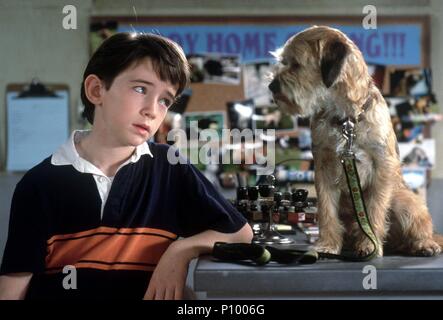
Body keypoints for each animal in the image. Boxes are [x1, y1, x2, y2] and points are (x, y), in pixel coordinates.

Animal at [268, 25, 442, 258]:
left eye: (296, 64)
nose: (271, 86)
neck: (346, 118)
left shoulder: (382, 168)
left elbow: (374, 209)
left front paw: (370, 244)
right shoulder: (324, 168)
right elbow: (326, 210)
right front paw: (327, 244)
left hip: (406, 201)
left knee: (419, 229)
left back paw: (423, 244)